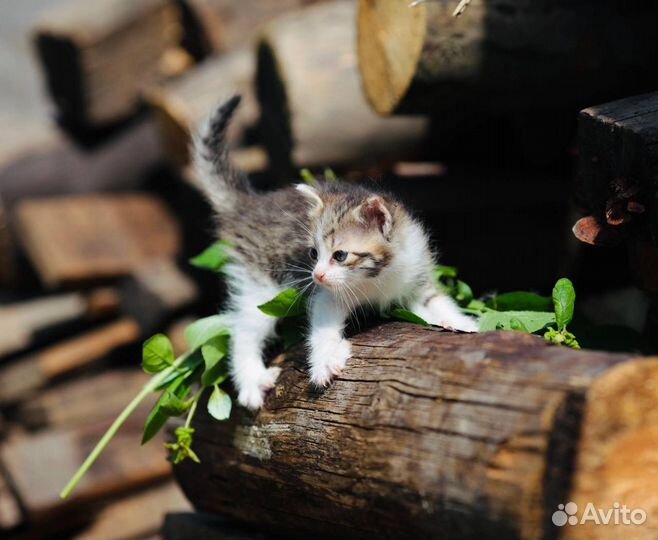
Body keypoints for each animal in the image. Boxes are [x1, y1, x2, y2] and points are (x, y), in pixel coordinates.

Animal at [192, 97, 474, 410]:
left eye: (340, 255)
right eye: (314, 253)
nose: (317, 275)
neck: (378, 277)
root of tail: (251, 205)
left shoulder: (416, 275)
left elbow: (437, 301)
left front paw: (460, 322)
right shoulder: (327, 295)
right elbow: (324, 328)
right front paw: (325, 362)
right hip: (261, 284)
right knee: (243, 331)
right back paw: (252, 381)